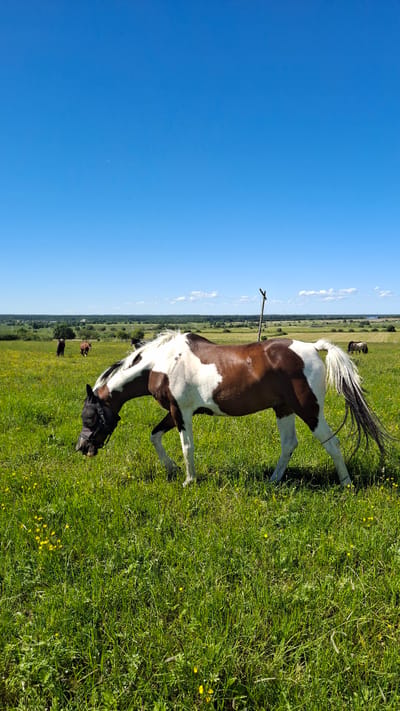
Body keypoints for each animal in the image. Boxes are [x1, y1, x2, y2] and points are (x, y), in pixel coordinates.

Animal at [76, 331, 387, 487]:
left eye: (90, 417)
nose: (81, 448)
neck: (161, 363)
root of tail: (313, 347)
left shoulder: (181, 412)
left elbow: (186, 446)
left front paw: (189, 480)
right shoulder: (174, 412)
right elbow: (155, 436)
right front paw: (172, 469)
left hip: (309, 409)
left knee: (331, 443)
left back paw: (346, 484)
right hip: (283, 409)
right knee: (289, 444)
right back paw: (273, 481)